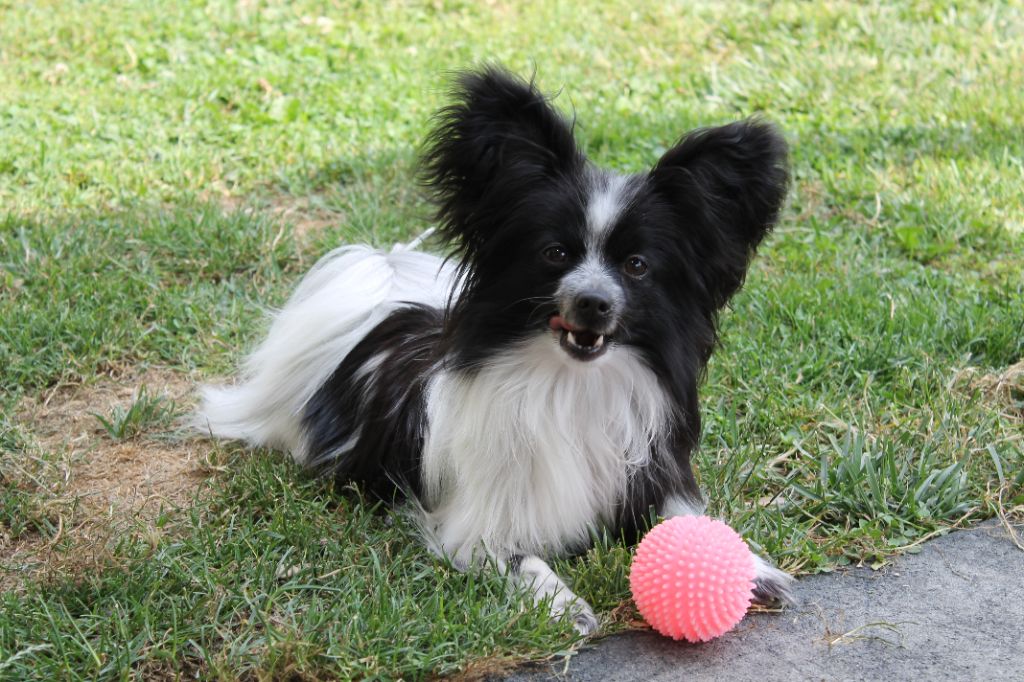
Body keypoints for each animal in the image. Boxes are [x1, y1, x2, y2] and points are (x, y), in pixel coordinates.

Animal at [195, 63, 794, 630]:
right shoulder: (473, 527)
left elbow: (689, 520)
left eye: (637, 266)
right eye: (555, 253)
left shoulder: (646, 478)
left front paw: (753, 566)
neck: (571, 383)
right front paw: (563, 603)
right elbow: (521, 558)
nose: (594, 302)